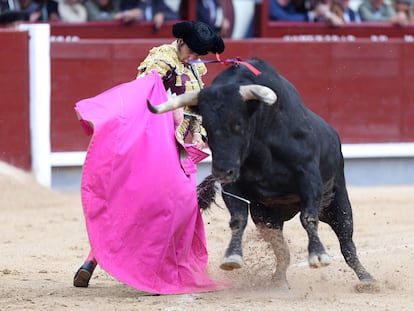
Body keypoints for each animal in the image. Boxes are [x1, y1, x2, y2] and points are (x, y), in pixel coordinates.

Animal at [148, 58, 376, 288]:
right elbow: (238, 219)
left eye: (238, 124)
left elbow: (308, 217)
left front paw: (318, 256)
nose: (221, 171)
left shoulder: (309, 178)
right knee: (281, 248)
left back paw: (367, 279)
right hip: (266, 216)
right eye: (207, 127)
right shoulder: (234, 186)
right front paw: (231, 257)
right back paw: (279, 280)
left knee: (346, 241)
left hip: (337, 202)